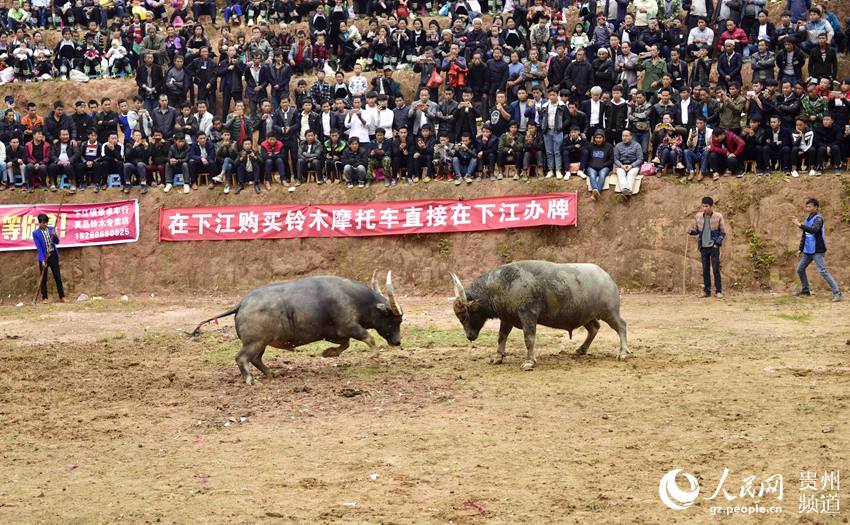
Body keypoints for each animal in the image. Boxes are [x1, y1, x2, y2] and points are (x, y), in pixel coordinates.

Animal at [193, 272, 404, 382]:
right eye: (394, 320)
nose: (397, 341)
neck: (354, 298)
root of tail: (241, 304)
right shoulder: (350, 326)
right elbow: (368, 338)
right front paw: (374, 356)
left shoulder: (336, 334)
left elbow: (344, 345)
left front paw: (328, 353)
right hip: (254, 342)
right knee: (241, 358)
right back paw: (249, 379)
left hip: (261, 343)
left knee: (256, 359)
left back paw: (271, 373)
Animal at [448, 260, 628, 368]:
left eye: (464, 315)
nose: (469, 336)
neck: (501, 285)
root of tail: (607, 277)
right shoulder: (507, 319)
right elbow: (501, 337)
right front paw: (498, 357)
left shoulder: (528, 316)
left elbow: (529, 339)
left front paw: (529, 362)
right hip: (586, 315)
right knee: (594, 328)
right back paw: (581, 349)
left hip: (610, 311)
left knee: (621, 326)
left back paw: (623, 352)